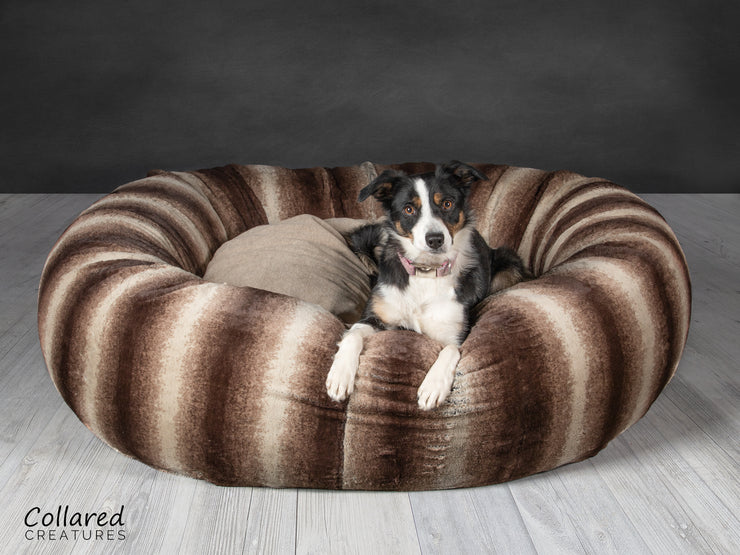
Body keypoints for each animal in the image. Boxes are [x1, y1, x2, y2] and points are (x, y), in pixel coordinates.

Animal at [326, 162, 528, 412]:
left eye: (447, 204)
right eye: (409, 209)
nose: (435, 239)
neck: (426, 272)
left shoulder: (455, 334)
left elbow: (451, 349)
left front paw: (433, 386)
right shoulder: (376, 318)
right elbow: (353, 333)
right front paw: (340, 375)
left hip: (509, 263)